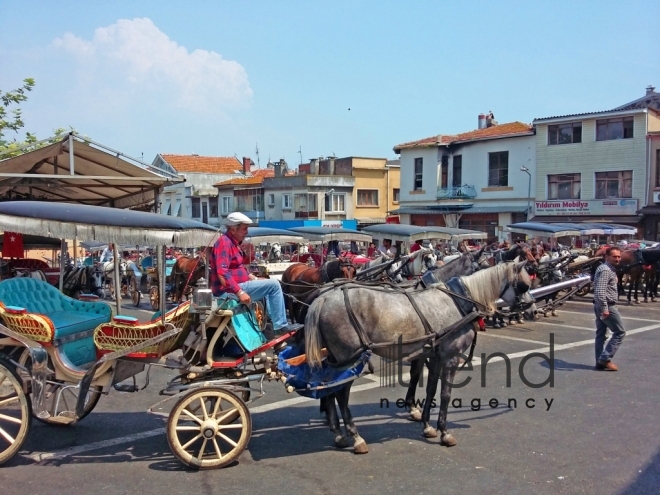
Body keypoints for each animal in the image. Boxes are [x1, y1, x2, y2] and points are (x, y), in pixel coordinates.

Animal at [304, 264, 532, 454]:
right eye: (524, 284)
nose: (530, 305)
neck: (459, 300)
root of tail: (324, 298)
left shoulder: (435, 356)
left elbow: (431, 390)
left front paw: (427, 425)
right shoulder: (450, 359)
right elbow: (445, 395)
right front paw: (444, 432)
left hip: (335, 359)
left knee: (329, 390)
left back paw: (339, 434)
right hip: (349, 359)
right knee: (341, 395)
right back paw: (355, 437)